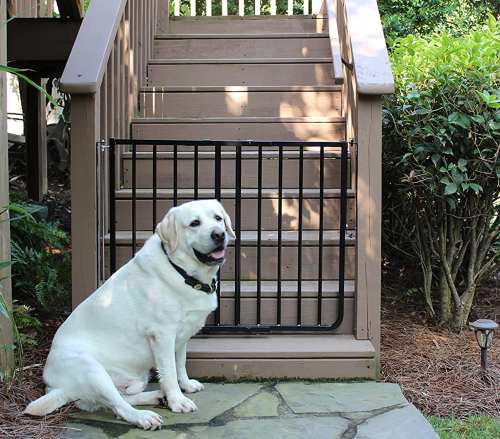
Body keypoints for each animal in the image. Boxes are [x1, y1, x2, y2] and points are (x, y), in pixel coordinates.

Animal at [26, 199, 236, 430]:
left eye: (218, 218)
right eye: (194, 223)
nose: (219, 234)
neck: (182, 272)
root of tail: (56, 388)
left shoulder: (182, 336)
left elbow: (180, 363)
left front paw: (187, 385)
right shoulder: (162, 335)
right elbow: (170, 371)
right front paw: (178, 401)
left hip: (133, 380)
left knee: (117, 399)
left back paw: (156, 396)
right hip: (92, 370)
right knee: (118, 406)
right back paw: (144, 416)